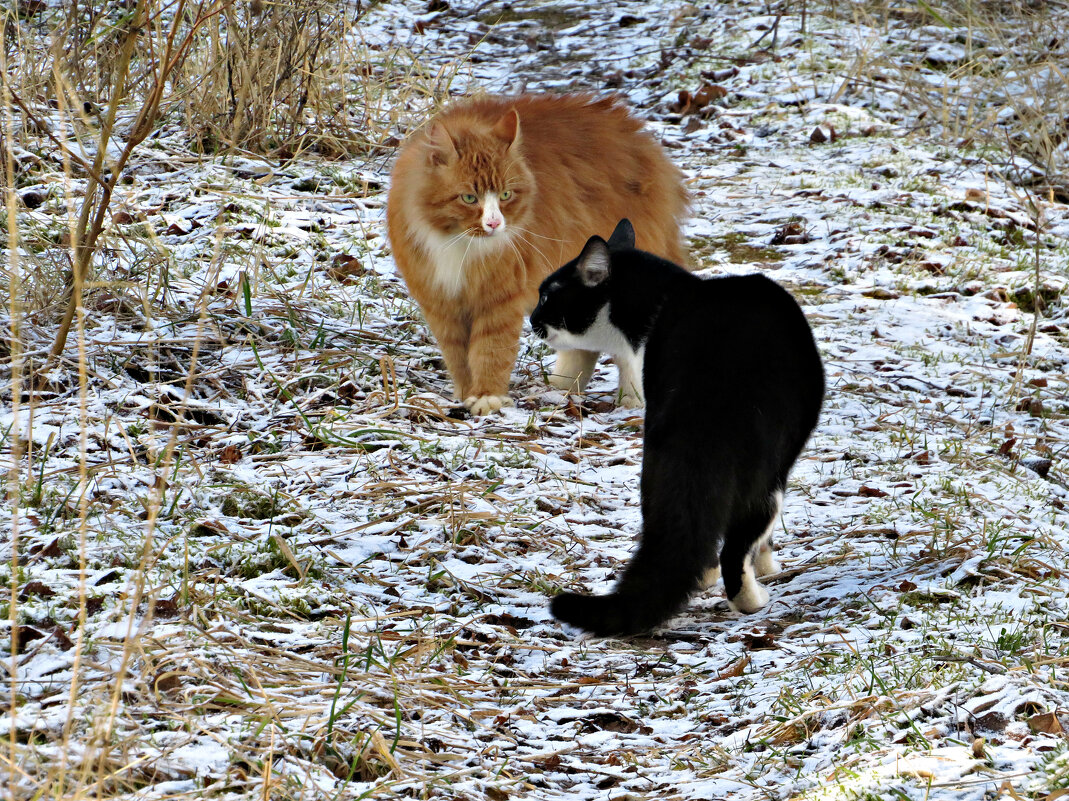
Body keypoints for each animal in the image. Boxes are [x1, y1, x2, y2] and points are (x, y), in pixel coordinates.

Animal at [389, 93, 688, 414]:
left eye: (505, 195)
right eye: (469, 198)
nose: (494, 223)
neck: (460, 244)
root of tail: (640, 136)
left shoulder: (500, 297)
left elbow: (490, 351)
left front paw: (487, 397)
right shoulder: (440, 300)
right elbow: (458, 356)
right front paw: (466, 393)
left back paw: (631, 399)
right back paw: (561, 389)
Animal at [530, 219, 820, 637]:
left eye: (545, 297)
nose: (531, 319)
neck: (660, 300)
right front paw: (768, 566)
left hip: (657, 461)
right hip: (766, 470)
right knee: (737, 544)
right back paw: (751, 600)